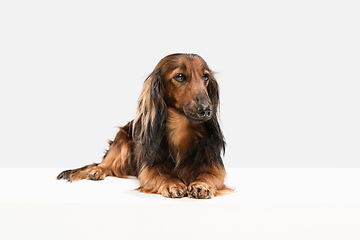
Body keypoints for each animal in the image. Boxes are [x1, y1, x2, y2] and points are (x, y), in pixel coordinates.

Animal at [57, 53, 232, 199]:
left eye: (205, 76)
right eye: (180, 76)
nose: (206, 110)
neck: (180, 130)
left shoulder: (214, 165)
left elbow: (210, 176)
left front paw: (202, 184)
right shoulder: (149, 168)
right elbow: (161, 175)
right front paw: (173, 183)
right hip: (121, 141)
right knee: (106, 163)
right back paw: (97, 170)